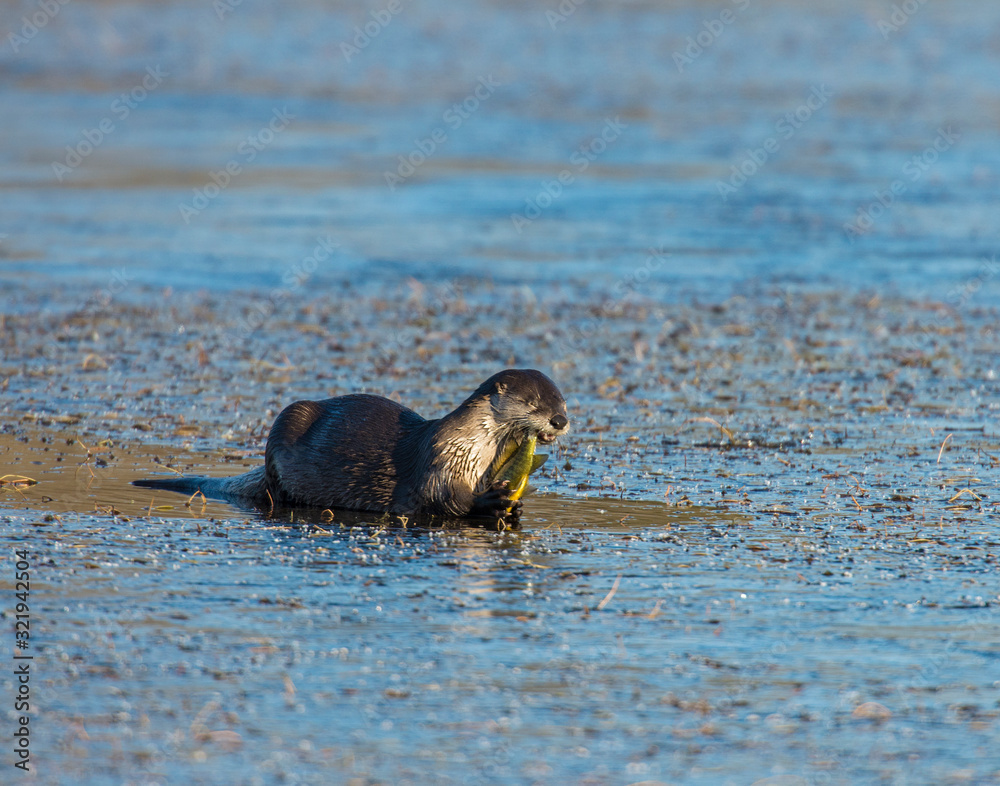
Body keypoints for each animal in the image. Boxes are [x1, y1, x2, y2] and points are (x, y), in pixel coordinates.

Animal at [133, 369, 569, 521]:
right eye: (534, 403)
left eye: (563, 402)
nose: (560, 421)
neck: (474, 449)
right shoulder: (442, 457)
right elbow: (443, 497)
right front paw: (492, 502)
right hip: (285, 424)